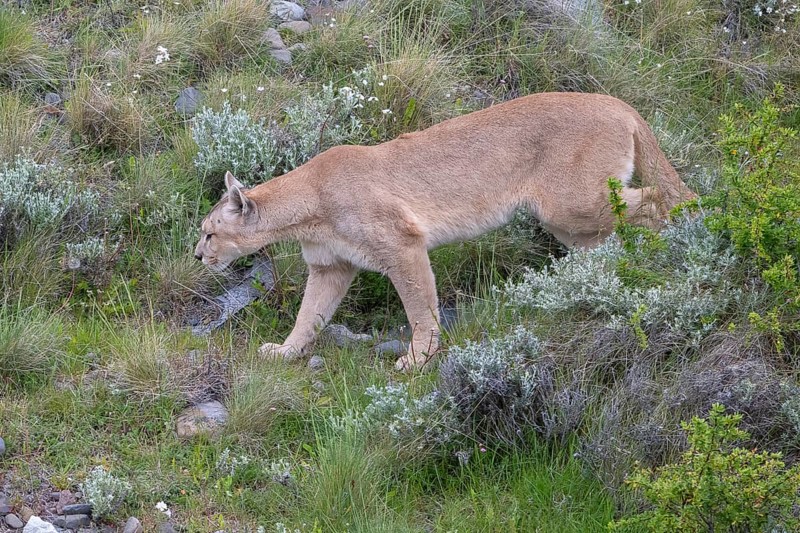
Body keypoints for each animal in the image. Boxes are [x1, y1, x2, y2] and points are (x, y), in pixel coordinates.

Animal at [194, 92, 695, 370]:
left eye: (209, 233)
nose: (198, 256)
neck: (309, 203)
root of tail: (617, 102)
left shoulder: (402, 245)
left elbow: (420, 308)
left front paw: (418, 359)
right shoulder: (330, 267)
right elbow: (309, 316)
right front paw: (285, 352)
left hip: (573, 202)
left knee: (662, 199)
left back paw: (679, 245)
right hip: (569, 222)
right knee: (605, 245)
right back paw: (597, 280)